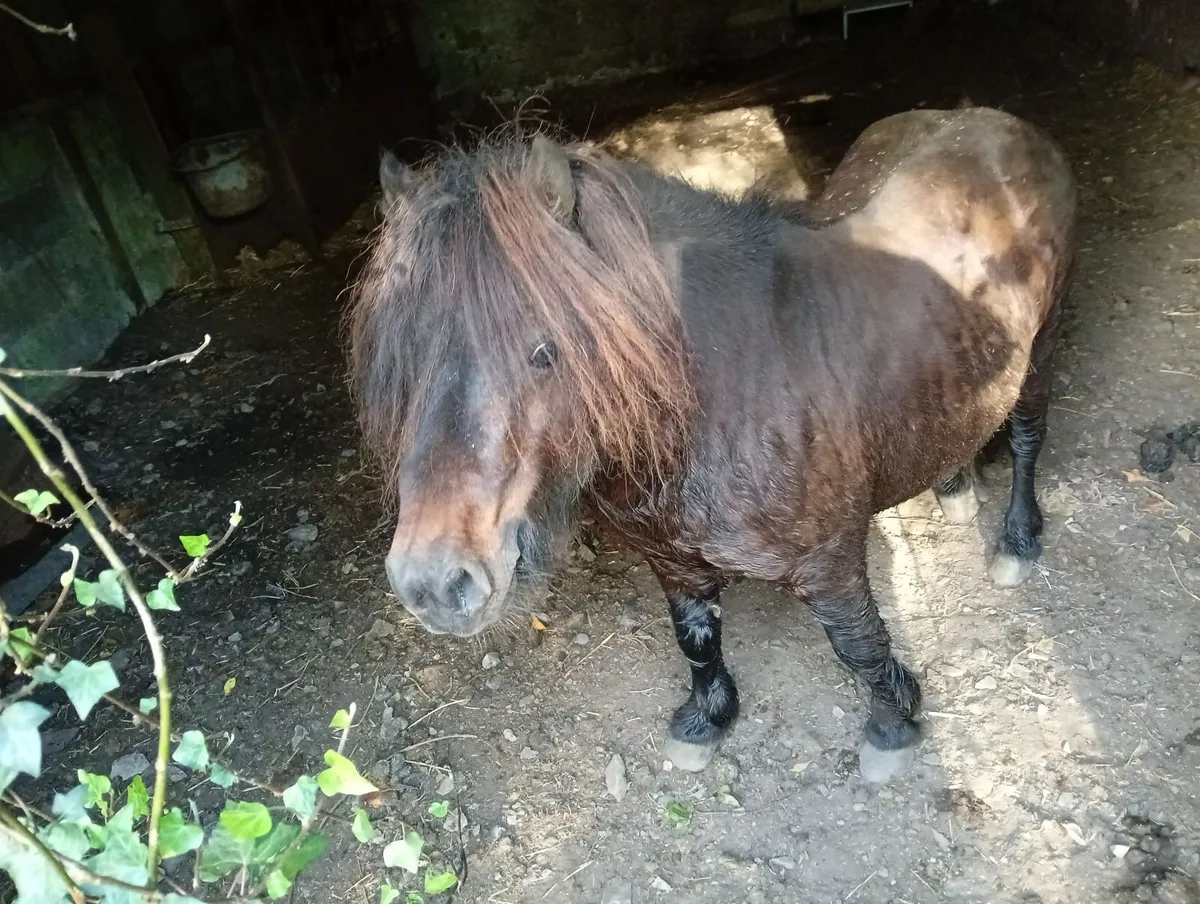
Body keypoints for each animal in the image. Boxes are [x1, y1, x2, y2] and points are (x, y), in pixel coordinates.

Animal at [347, 106, 1076, 782]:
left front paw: (892, 727)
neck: (717, 390)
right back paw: (952, 487)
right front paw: (706, 721)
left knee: (1026, 438)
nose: (434, 583)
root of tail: (996, 124)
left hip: (1039, 353)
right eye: (398, 360)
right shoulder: (672, 561)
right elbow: (696, 639)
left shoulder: (831, 562)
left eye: (544, 350)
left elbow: (859, 643)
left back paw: (1016, 544)